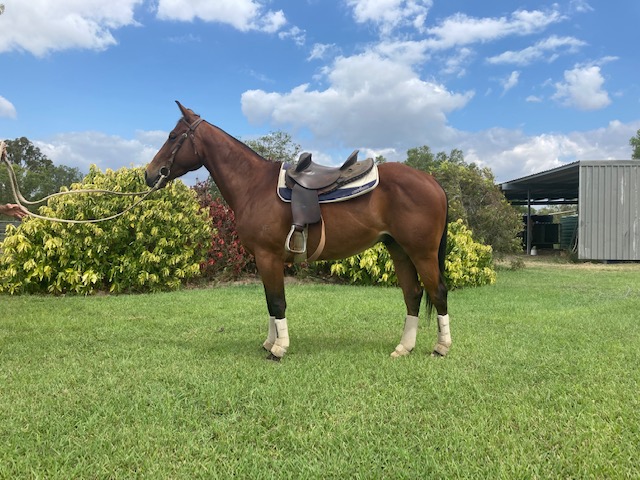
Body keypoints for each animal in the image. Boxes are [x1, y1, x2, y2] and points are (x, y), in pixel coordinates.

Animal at [145, 101, 451, 360]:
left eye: (172, 136)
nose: (149, 174)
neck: (253, 185)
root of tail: (432, 182)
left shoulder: (268, 256)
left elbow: (277, 302)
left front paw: (278, 349)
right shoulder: (263, 259)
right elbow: (270, 302)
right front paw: (270, 342)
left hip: (421, 253)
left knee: (437, 292)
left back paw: (441, 347)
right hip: (399, 250)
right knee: (413, 294)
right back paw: (404, 348)